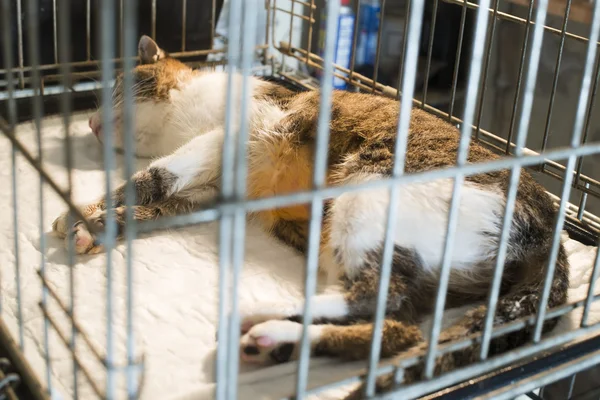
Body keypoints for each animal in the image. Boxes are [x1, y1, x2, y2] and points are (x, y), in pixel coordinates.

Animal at [50, 36, 568, 398]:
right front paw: (95, 223)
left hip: (368, 191)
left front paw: (83, 217)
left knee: (379, 300)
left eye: (117, 87)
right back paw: (276, 341)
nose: (91, 123)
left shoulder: (224, 137)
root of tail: (550, 224)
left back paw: (261, 321)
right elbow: (156, 204)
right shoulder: (210, 193)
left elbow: (153, 176)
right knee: (396, 327)